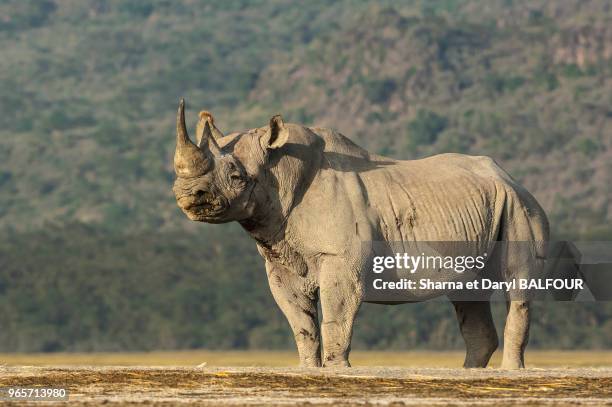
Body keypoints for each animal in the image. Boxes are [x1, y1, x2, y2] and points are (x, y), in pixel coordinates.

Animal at [171, 99, 548, 370]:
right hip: (488, 207)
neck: (281, 170)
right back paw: (468, 373)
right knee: (469, 291)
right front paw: (307, 370)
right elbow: (300, 321)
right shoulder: (280, 258)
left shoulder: (341, 258)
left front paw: (337, 369)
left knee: (516, 282)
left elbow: (336, 315)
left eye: (237, 178)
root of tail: (512, 178)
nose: (187, 195)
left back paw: (509, 373)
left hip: (519, 206)